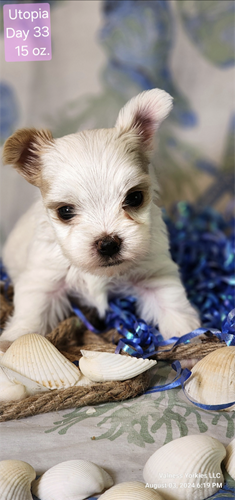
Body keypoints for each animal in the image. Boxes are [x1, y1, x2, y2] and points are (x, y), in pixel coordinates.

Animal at [0, 89, 201, 344]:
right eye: (65, 211)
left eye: (134, 197)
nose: (108, 244)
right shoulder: (43, 278)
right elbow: (33, 311)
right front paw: (17, 338)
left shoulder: (155, 274)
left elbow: (171, 302)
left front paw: (185, 335)